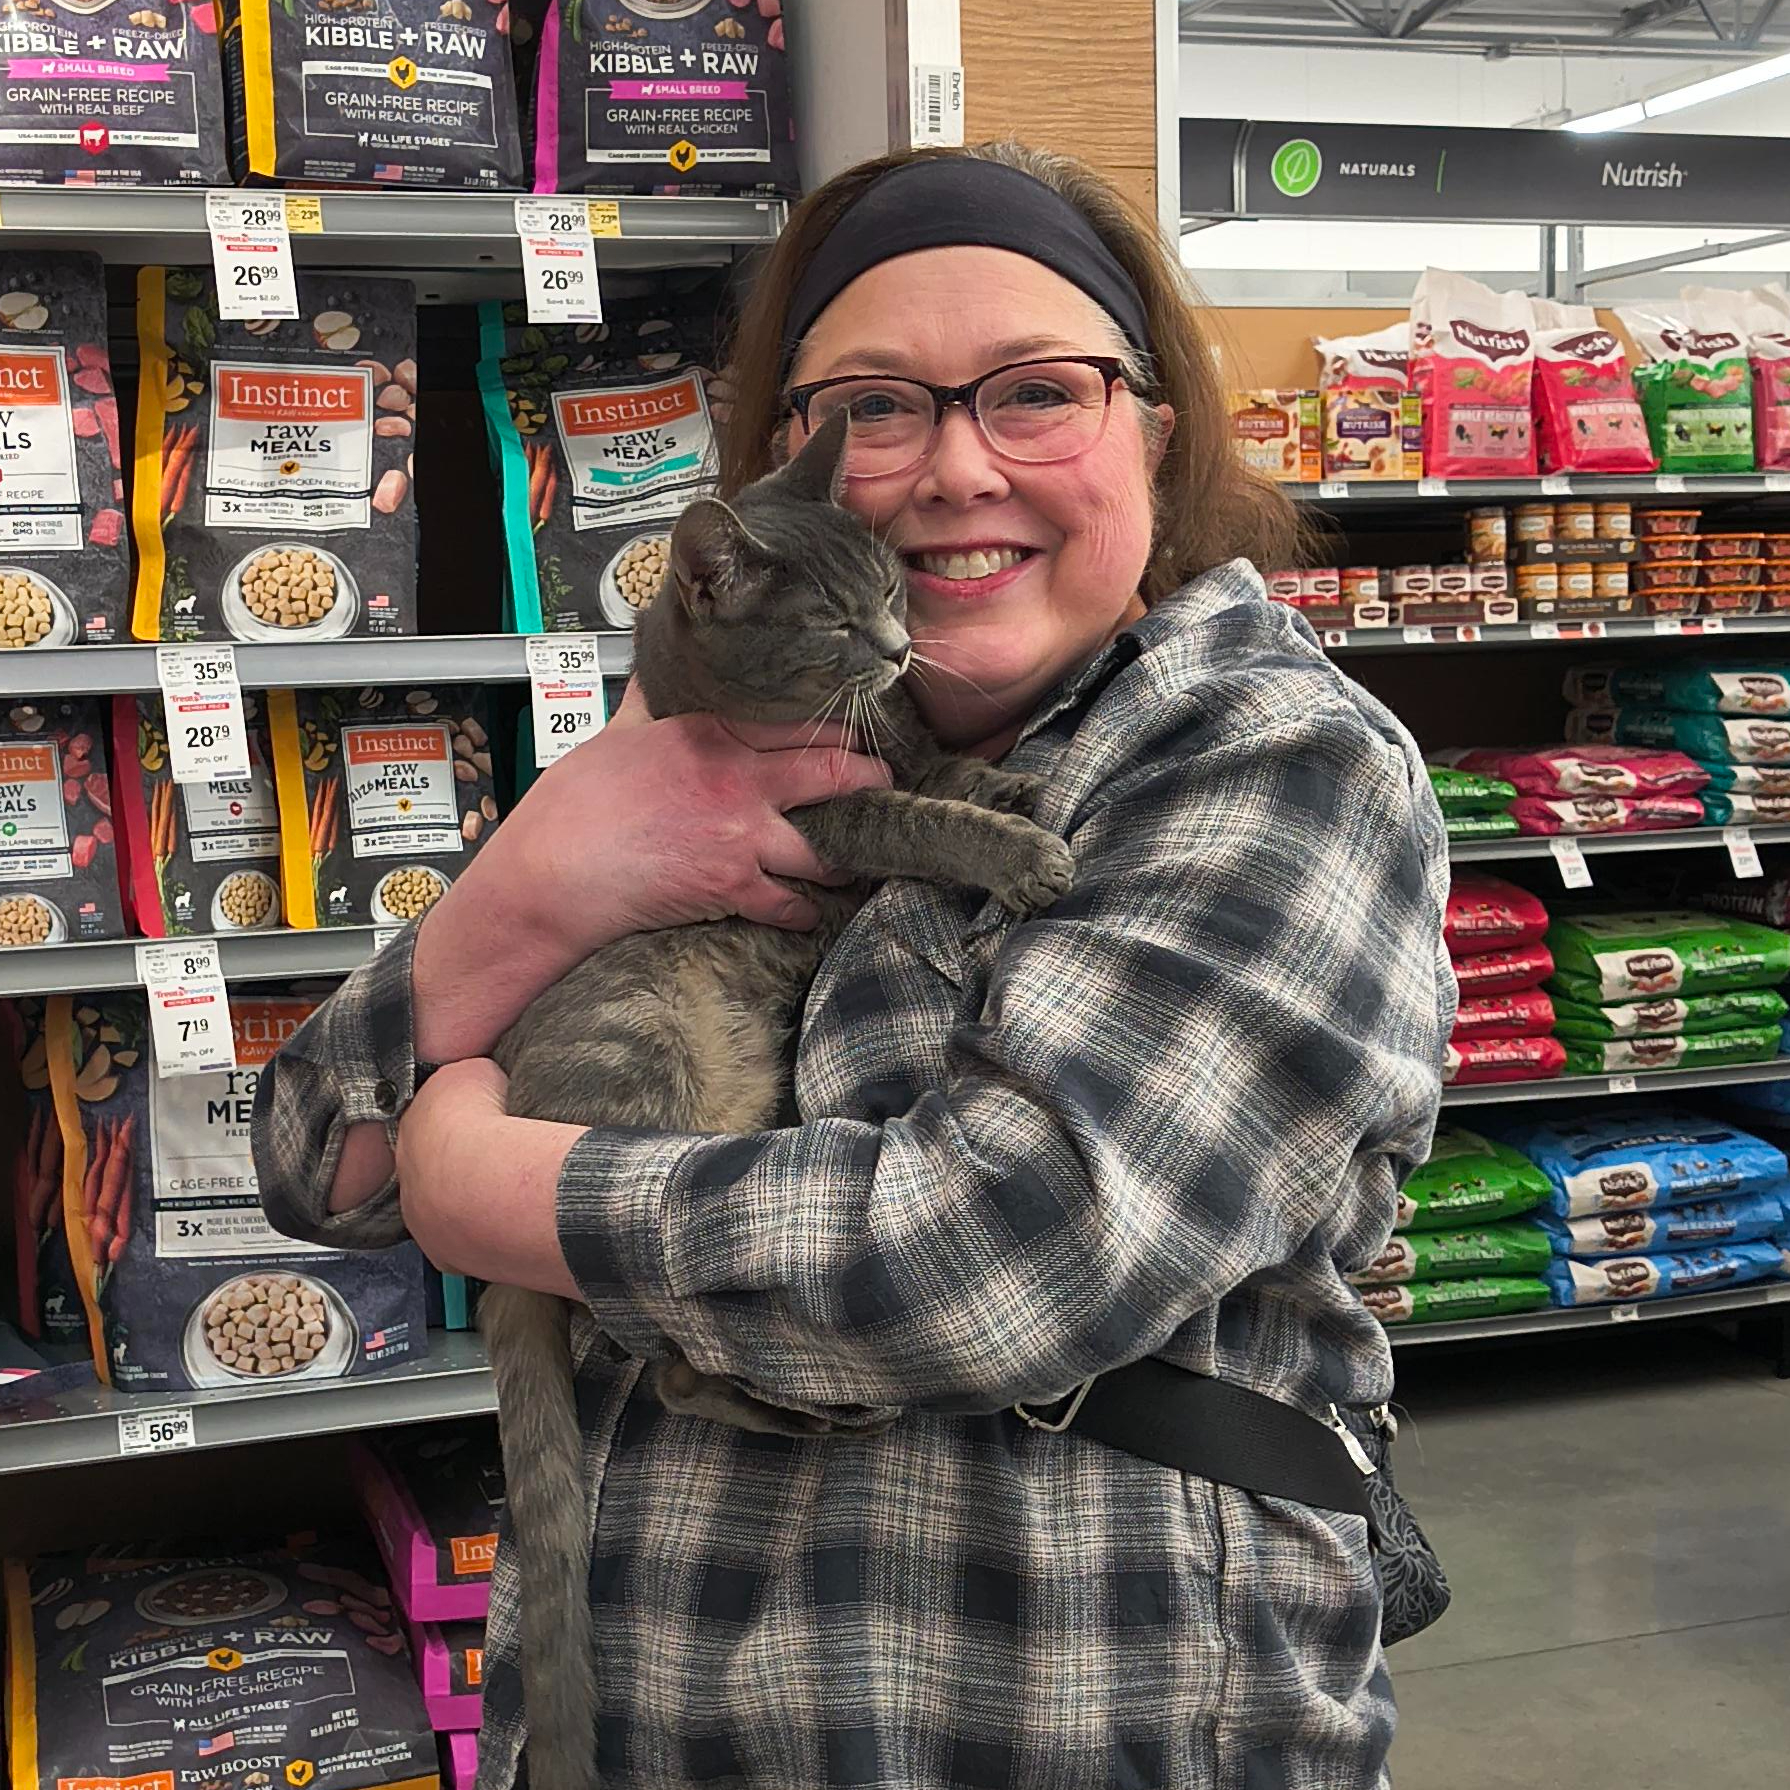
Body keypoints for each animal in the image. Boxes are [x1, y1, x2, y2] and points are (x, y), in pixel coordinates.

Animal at [478, 410, 1075, 1790]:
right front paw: (1011, 842)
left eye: (897, 590)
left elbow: (931, 761)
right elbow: (910, 813)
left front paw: (997, 776)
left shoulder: (886, 740)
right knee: (650, 1342)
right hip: (636, 1092)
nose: (903, 648)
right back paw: (786, 1406)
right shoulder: (816, 819)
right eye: (836, 622)